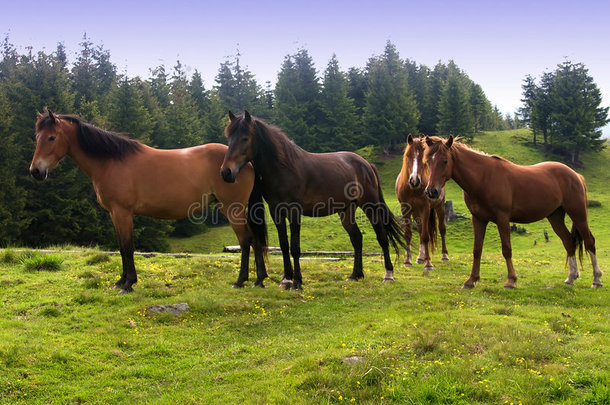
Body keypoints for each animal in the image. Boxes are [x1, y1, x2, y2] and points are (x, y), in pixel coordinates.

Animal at [29, 109, 266, 292]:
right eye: (37, 137)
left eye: (51, 137)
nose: (36, 171)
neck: (111, 161)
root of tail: (243, 163)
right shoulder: (114, 214)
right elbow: (121, 247)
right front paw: (120, 281)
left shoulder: (123, 212)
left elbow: (127, 247)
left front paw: (128, 284)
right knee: (255, 239)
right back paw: (259, 279)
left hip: (232, 209)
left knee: (246, 240)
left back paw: (241, 281)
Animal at [220, 109, 404, 288]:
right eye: (229, 137)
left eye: (245, 138)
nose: (226, 172)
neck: (284, 168)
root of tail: (366, 165)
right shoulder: (276, 211)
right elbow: (284, 245)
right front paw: (286, 279)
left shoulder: (294, 211)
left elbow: (295, 247)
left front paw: (296, 282)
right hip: (346, 210)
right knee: (357, 238)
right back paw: (355, 275)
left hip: (370, 206)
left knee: (382, 237)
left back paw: (388, 275)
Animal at [394, 134, 446, 270]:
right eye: (408, 155)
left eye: (422, 157)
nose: (414, 181)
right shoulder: (405, 209)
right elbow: (409, 234)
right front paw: (407, 261)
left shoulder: (425, 208)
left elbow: (425, 236)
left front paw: (428, 263)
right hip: (416, 212)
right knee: (420, 228)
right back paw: (420, 258)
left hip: (439, 206)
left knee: (441, 229)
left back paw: (444, 256)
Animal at [420, 134, 600, 288]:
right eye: (427, 161)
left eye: (444, 161)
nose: (431, 191)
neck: (483, 178)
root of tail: (575, 174)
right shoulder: (478, 219)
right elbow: (477, 250)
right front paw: (471, 280)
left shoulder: (502, 218)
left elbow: (506, 249)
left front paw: (511, 280)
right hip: (555, 217)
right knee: (569, 242)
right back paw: (571, 277)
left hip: (578, 214)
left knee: (589, 241)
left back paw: (596, 280)